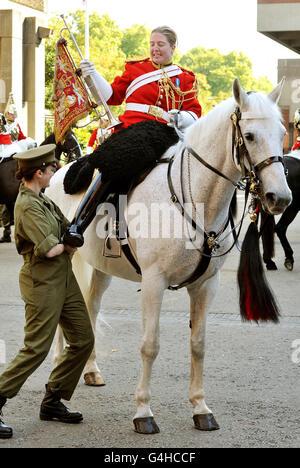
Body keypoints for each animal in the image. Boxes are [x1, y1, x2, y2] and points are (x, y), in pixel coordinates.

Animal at [46, 78, 290, 434]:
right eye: (249, 136)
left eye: (283, 132)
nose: (279, 198)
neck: (198, 201)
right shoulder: (153, 281)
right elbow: (150, 345)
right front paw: (143, 411)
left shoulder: (206, 285)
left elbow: (198, 344)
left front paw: (201, 407)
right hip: (71, 259)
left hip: (101, 269)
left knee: (91, 310)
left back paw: (90, 369)